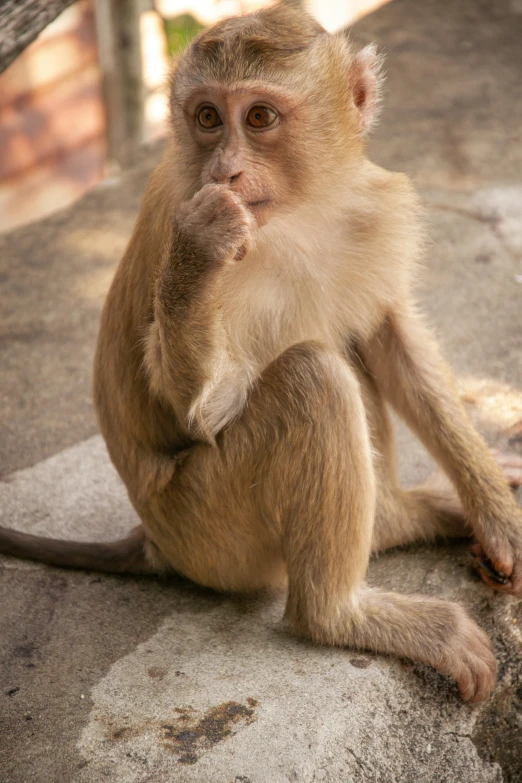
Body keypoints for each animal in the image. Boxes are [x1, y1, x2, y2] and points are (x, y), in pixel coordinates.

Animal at [3, 3, 520, 704]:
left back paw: (404, 518)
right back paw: (339, 616)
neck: (298, 215)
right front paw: (197, 250)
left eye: (258, 118)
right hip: (210, 532)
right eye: (207, 117)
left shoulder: (371, 207)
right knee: (313, 376)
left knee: (341, 350)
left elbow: (389, 335)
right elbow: (208, 411)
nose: (225, 172)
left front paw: (497, 516)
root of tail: (155, 541)